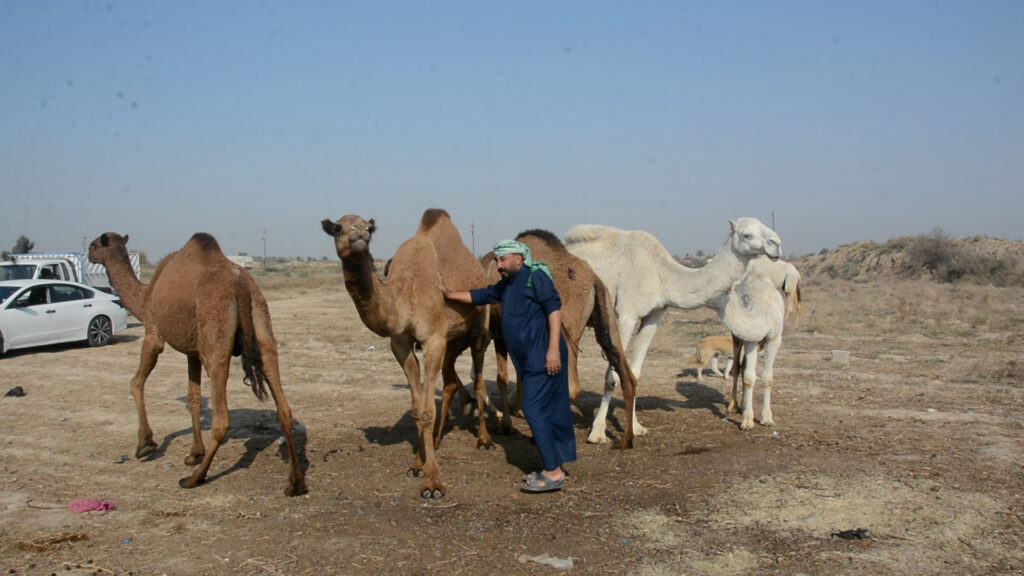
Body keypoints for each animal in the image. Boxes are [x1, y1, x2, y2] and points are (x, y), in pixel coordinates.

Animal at [88, 230, 305, 496]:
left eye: (94, 245)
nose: (88, 253)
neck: (144, 296)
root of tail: (240, 285)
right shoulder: (192, 350)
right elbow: (193, 397)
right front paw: (194, 453)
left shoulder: (152, 332)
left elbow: (135, 382)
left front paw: (146, 444)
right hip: (262, 322)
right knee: (283, 406)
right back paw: (295, 483)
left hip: (216, 338)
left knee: (221, 419)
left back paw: (194, 478)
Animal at [321, 208, 493, 496]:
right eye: (337, 228)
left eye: (370, 228)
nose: (360, 232)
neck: (405, 294)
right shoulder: (401, 344)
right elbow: (415, 408)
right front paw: (417, 465)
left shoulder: (433, 339)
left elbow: (426, 411)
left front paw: (433, 482)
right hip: (453, 339)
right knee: (449, 382)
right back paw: (437, 440)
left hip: (480, 330)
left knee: (479, 381)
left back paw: (484, 440)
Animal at [481, 228, 638, 448]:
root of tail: (594, 280)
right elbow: (521, 374)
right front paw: (518, 410)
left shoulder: (501, 334)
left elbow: (502, 378)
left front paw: (506, 424)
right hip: (607, 315)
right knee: (628, 376)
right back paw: (626, 439)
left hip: (564, 331)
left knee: (572, 387)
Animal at [565, 217, 778, 440]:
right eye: (747, 235)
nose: (776, 244)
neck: (662, 273)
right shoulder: (625, 315)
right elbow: (613, 374)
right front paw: (597, 433)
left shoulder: (654, 315)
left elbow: (634, 373)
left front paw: (636, 427)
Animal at [716, 270, 786, 428]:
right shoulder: (751, 339)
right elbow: (749, 377)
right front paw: (747, 421)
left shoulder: (774, 339)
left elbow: (767, 377)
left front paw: (767, 418)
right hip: (737, 338)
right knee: (737, 366)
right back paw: (734, 405)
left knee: (742, 366)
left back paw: (742, 405)